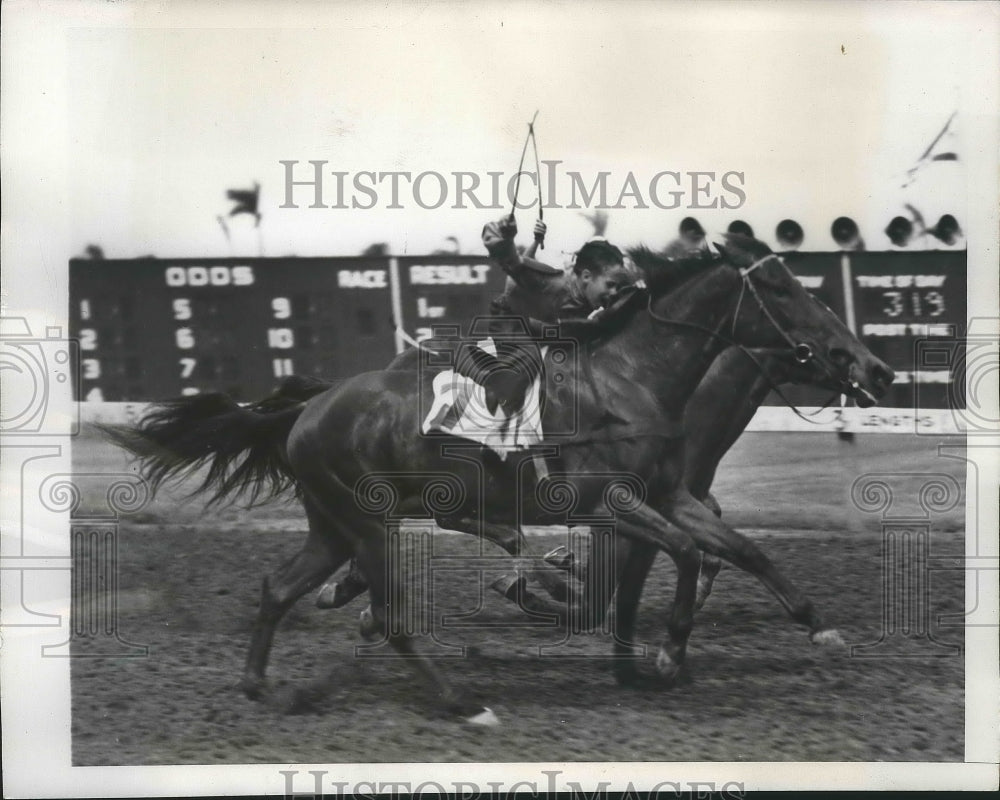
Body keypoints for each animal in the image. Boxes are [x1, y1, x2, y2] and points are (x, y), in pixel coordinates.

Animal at [103, 234, 892, 720]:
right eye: (784, 292)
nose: (870, 366)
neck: (630, 379)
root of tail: (310, 406)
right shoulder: (605, 503)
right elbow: (681, 556)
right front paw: (665, 653)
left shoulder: (670, 493)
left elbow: (735, 548)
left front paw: (817, 627)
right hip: (368, 521)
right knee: (389, 614)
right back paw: (463, 702)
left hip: (333, 525)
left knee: (277, 588)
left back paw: (259, 683)